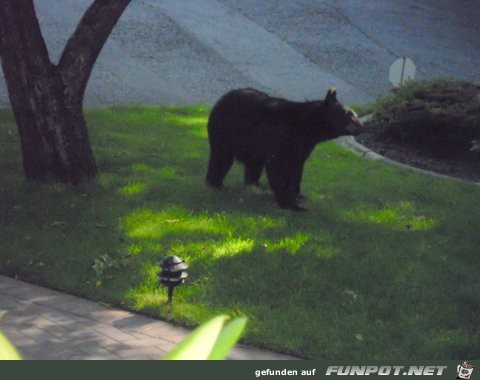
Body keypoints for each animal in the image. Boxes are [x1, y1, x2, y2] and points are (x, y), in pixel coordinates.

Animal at [204, 87, 362, 209]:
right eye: (349, 115)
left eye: (355, 114)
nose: (361, 126)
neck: (307, 127)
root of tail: (221, 99)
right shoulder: (283, 135)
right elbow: (278, 165)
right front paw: (291, 203)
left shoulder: (303, 145)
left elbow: (296, 166)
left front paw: (298, 195)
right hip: (226, 131)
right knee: (221, 158)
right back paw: (216, 184)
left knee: (254, 164)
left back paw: (256, 185)